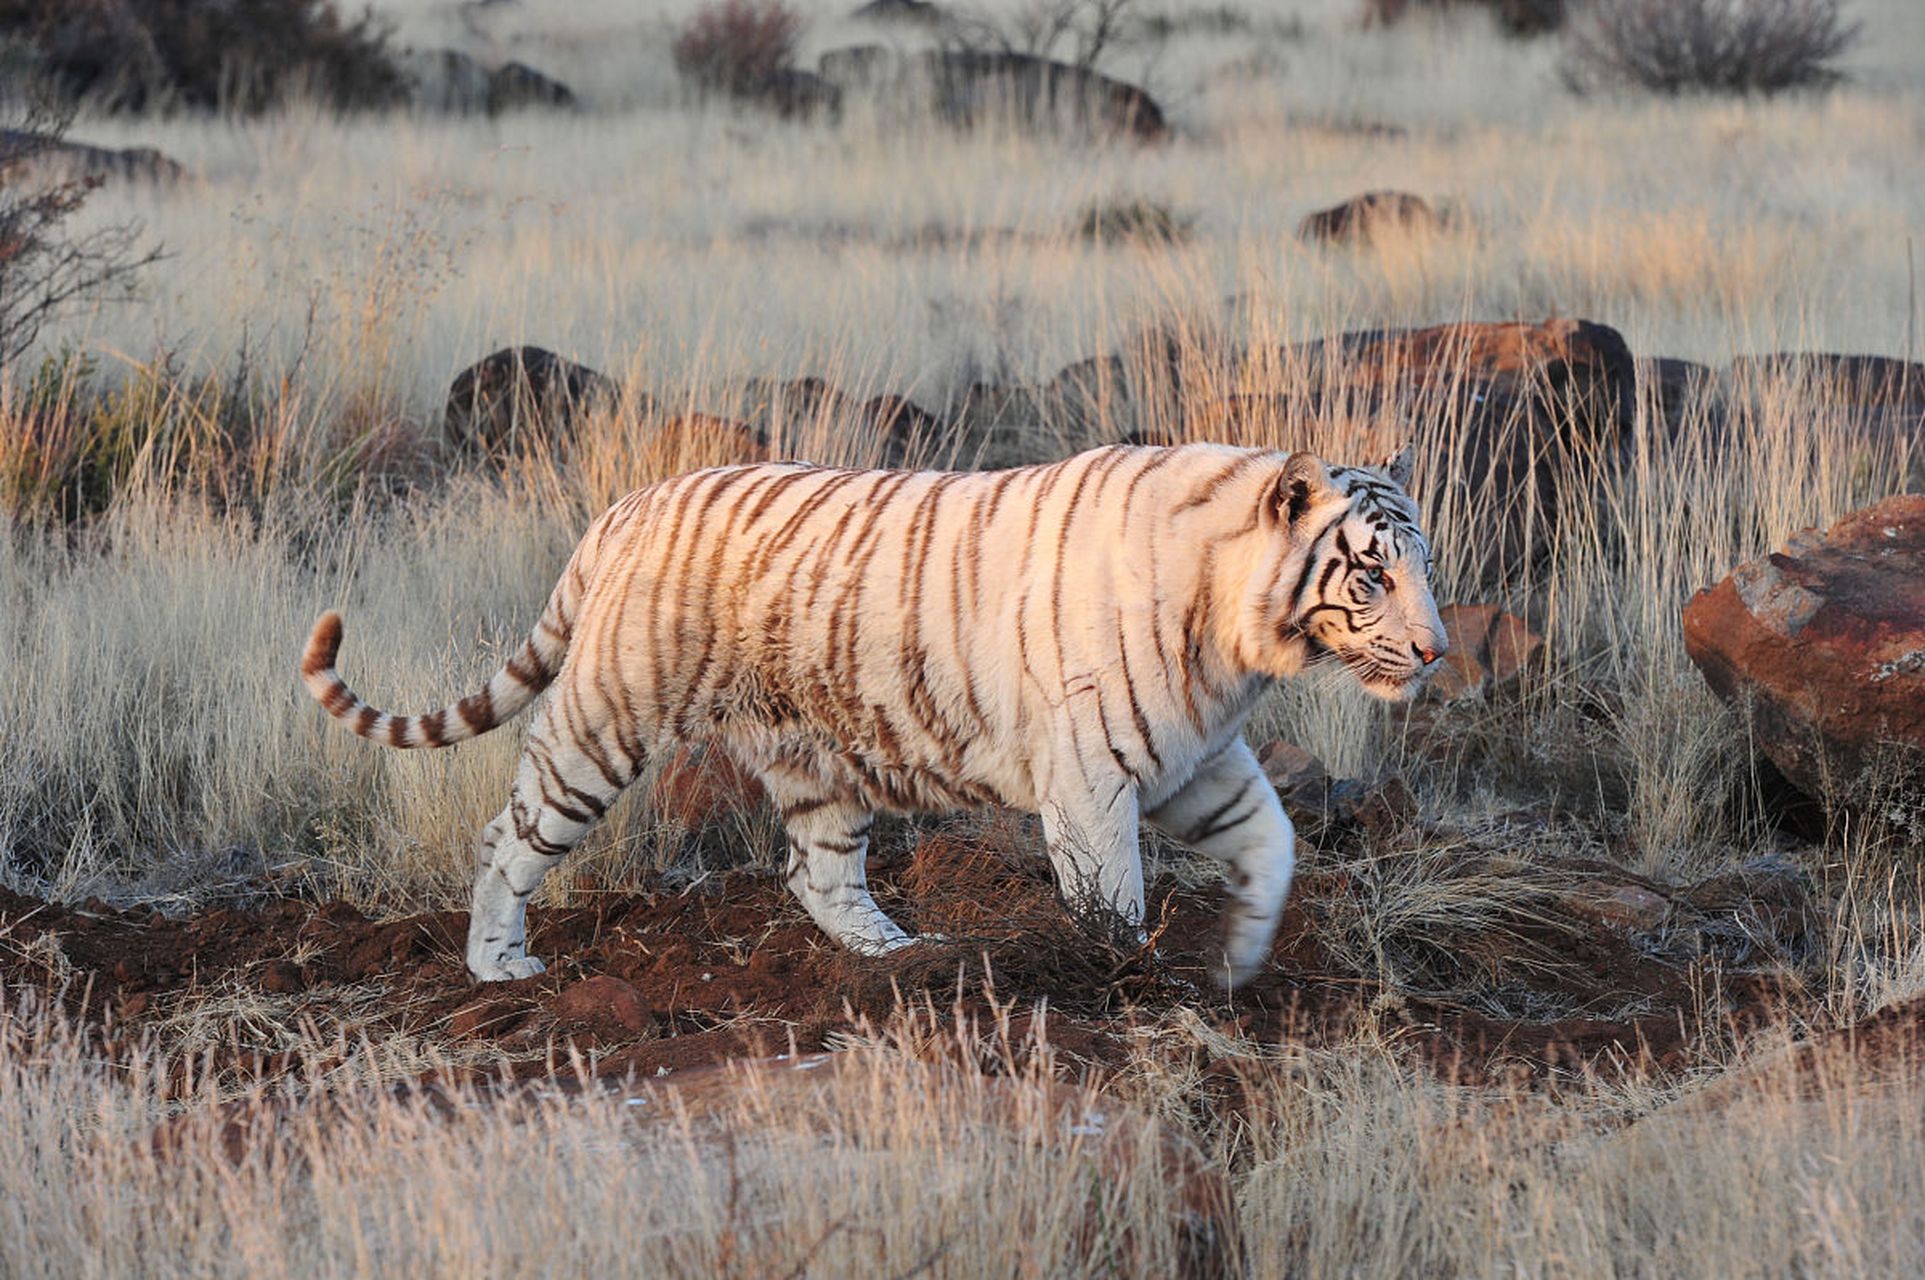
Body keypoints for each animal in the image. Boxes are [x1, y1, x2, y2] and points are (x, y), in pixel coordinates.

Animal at [301, 444, 1447, 986]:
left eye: (1423, 566)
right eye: (1372, 575)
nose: (1436, 650)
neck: (1234, 643)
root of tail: (628, 504)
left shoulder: (1193, 760)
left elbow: (1275, 842)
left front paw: (1244, 960)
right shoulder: (1092, 776)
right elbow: (1113, 895)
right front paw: (1126, 975)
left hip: (817, 756)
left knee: (816, 872)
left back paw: (896, 955)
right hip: (603, 720)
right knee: (508, 834)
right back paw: (498, 962)